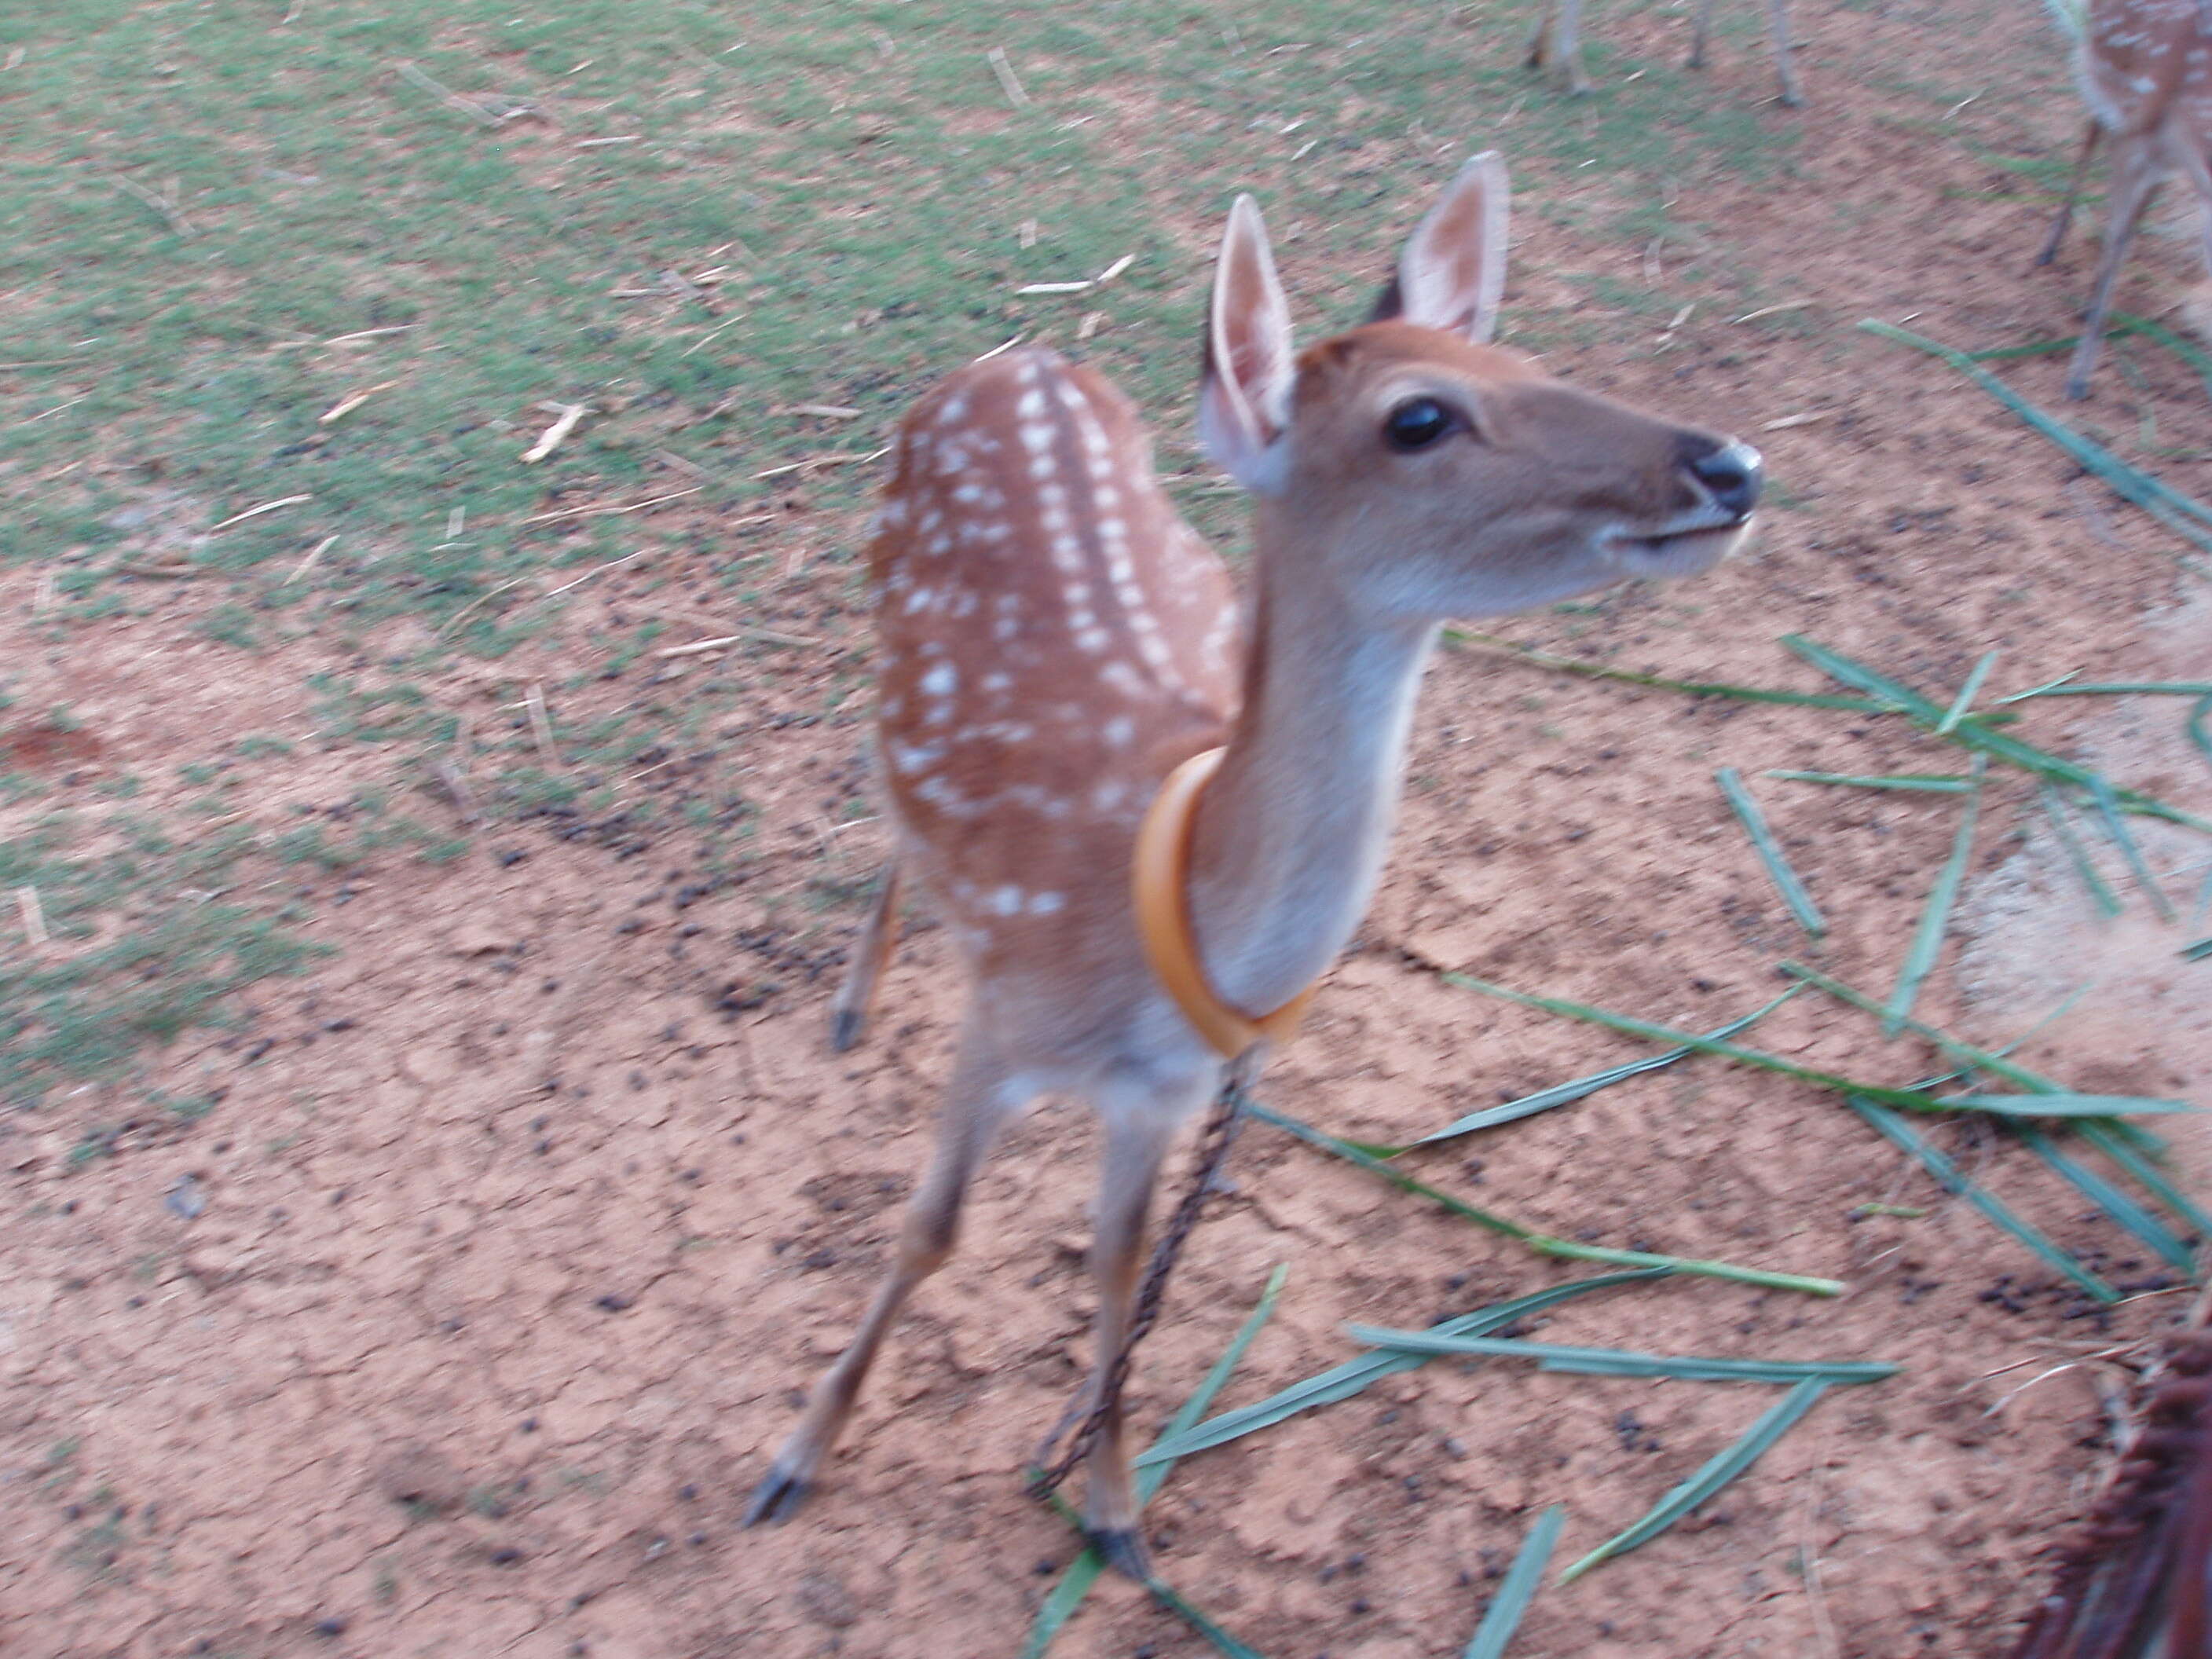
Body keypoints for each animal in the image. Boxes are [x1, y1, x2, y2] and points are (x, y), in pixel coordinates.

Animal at [743, 149, 1760, 1574]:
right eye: (1419, 418)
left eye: (1515, 352)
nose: (1730, 464)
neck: (1151, 916)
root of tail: (1023, 356)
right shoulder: (1002, 1020)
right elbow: (931, 1227)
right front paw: (797, 1455)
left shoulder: (1163, 1094)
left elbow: (1118, 1265)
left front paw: (1113, 1506)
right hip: (876, 587)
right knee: (877, 787)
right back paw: (854, 997)